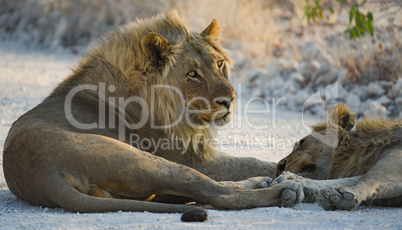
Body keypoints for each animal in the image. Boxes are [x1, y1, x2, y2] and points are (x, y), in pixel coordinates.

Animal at [1, 10, 304, 221]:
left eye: (219, 64)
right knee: (217, 194)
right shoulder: (189, 157)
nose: (229, 100)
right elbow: (251, 161)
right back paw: (283, 191)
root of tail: (44, 173)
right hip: (146, 160)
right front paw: (288, 170)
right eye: (192, 74)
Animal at [274, 104, 402, 210]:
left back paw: (339, 197)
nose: (279, 167)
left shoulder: (394, 155)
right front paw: (296, 181)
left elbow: (368, 179)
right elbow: (347, 179)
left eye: (302, 142)